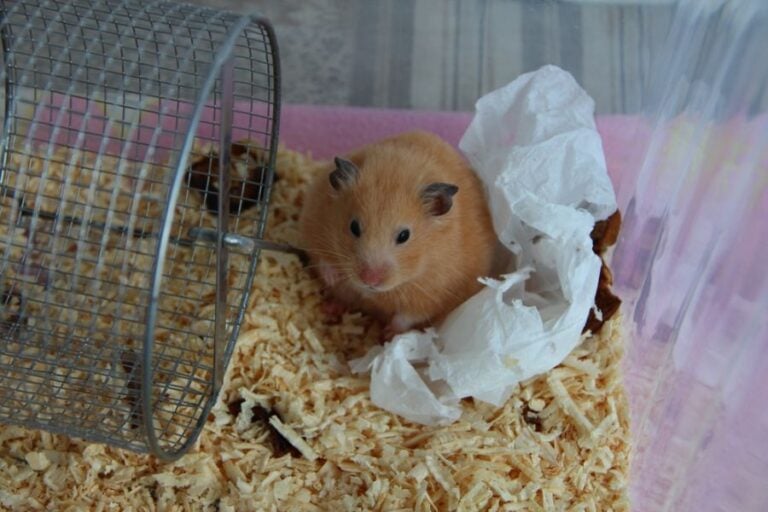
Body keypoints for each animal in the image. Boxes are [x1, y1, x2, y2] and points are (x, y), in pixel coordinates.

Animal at [299, 130, 497, 339]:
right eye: (353, 227)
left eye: (404, 236)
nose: (369, 281)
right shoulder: (313, 220)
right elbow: (322, 257)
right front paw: (333, 277)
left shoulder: (435, 293)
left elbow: (408, 315)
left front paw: (388, 334)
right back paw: (330, 307)